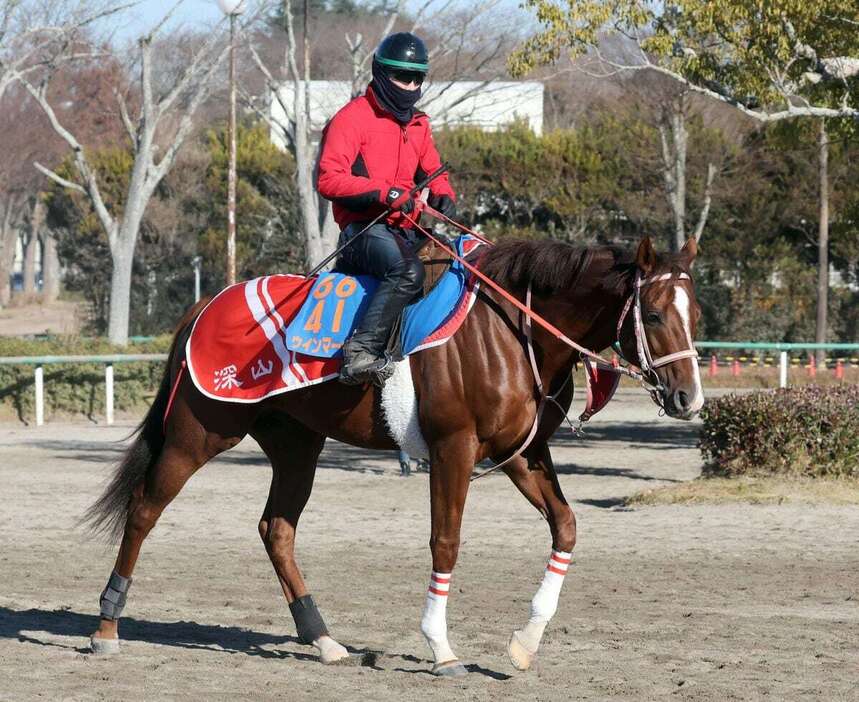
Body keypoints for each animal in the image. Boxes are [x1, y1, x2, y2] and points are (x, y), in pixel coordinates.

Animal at [85, 235, 704, 676]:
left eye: (694, 313)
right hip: (200, 433)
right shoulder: (454, 448)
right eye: (652, 315)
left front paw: (525, 642)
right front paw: (441, 649)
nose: (689, 398)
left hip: (297, 446)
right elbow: (446, 541)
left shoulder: (523, 454)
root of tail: (205, 304)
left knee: (276, 529)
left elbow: (567, 526)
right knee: (144, 509)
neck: (509, 329)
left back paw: (324, 640)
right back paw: (107, 628)